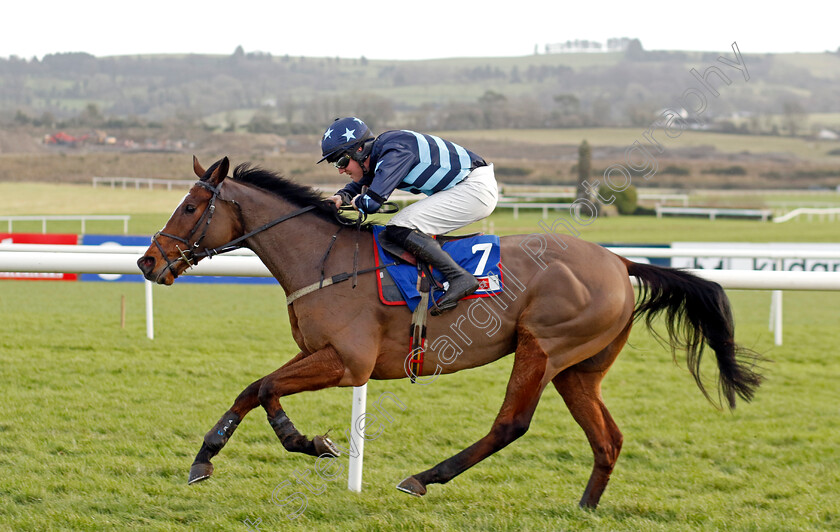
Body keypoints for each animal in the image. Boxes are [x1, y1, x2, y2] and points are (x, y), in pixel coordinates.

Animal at [136, 157, 760, 508]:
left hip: (542, 348)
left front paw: (307, 442)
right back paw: (585, 507)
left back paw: (424, 478)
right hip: (578, 369)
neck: (323, 257)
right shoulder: (319, 355)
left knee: (511, 424)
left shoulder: (349, 362)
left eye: (190, 206)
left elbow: (265, 387)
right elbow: (252, 389)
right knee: (607, 439)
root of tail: (620, 261)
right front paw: (207, 458)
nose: (147, 262)